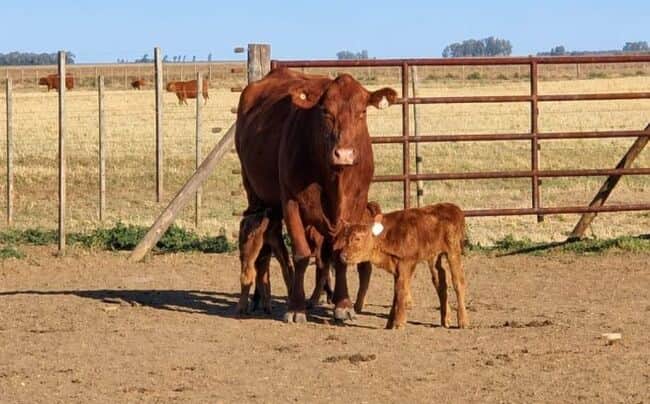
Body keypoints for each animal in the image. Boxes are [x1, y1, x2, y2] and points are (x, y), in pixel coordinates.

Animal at [236, 67, 397, 323]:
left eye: (362, 112)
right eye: (325, 112)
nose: (344, 154)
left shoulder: (355, 206)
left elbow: (339, 255)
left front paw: (343, 305)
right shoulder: (291, 202)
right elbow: (301, 255)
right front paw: (296, 307)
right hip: (255, 196)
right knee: (262, 251)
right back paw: (258, 300)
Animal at [336, 203, 469, 330]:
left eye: (357, 238)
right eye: (345, 238)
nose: (343, 255)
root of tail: (454, 208)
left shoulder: (406, 263)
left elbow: (401, 289)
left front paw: (399, 323)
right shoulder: (396, 268)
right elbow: (396, 292)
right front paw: (390, 323)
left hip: (453, 252)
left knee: (458, 282)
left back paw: (463, 321)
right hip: (434, 257)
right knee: (440, 283)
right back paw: (445, 320)